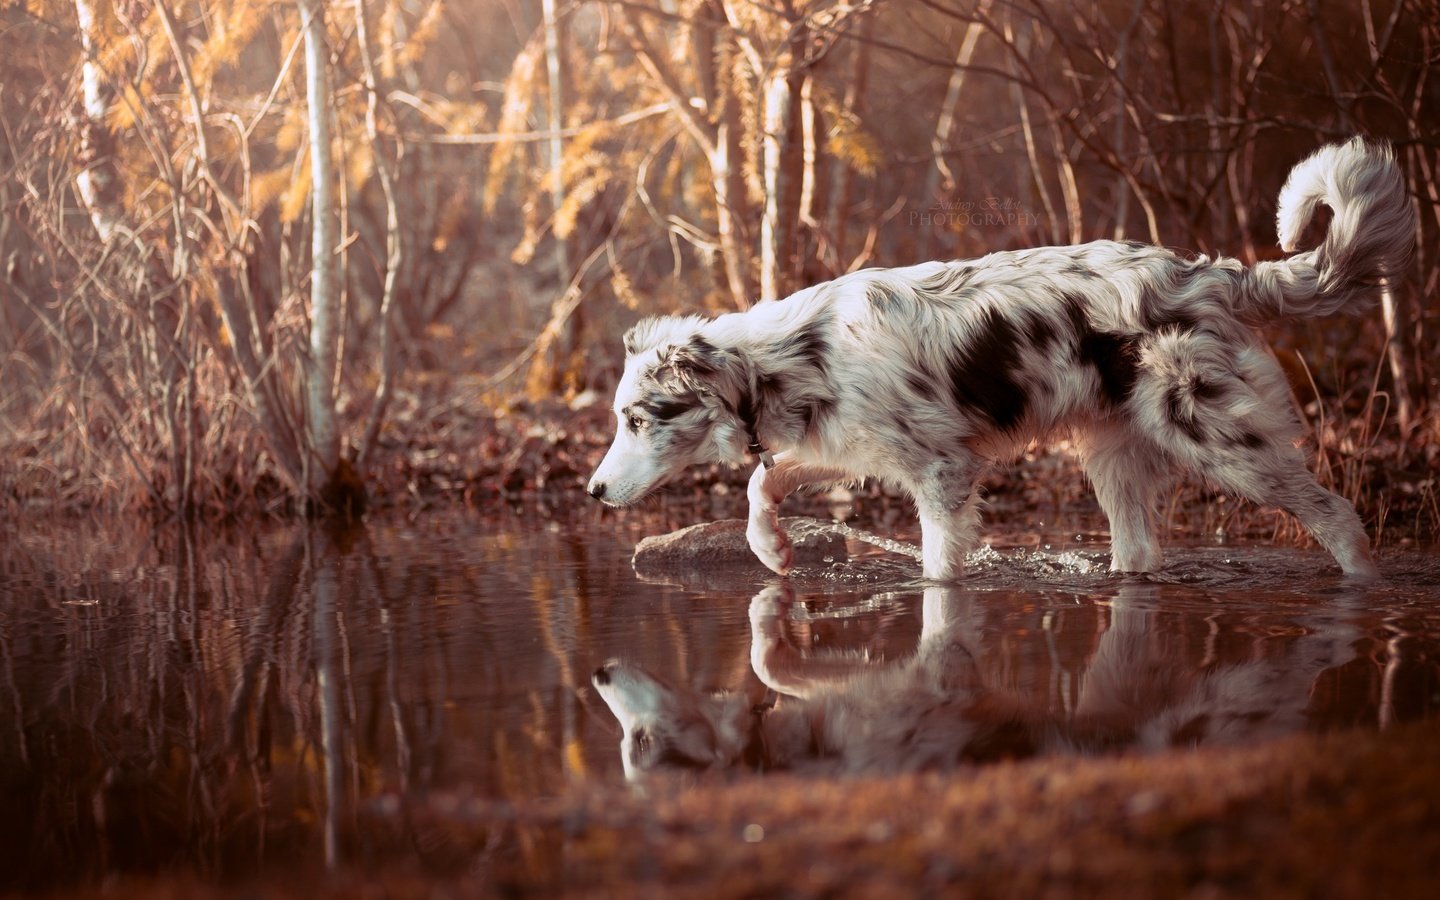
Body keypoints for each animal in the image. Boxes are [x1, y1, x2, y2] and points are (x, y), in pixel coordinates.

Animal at [587, 136, 1416, 578]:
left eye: (638, 419)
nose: (592, 490)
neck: (793, 357)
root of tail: (1212, 272)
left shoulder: (943, 474)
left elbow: (937, 571)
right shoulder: (848, 447)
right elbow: (763, 480)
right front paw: (771, 548)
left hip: (1222, 441)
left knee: (1339, 516)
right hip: (1113, 459)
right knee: (1140, 554)